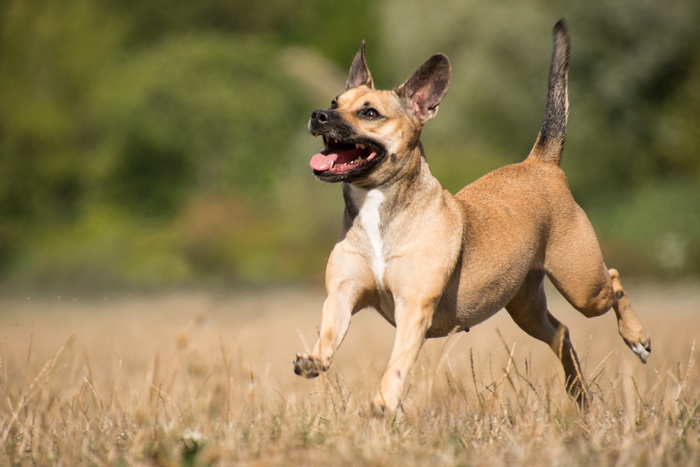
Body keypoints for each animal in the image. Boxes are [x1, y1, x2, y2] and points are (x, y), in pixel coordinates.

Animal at [292, 19, 652, 416]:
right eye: (334, 103)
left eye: (370, 113)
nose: (318, 115)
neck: (378, 205)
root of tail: (541, 163)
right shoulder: (343, 293)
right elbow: (329, 333)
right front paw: (314, 360)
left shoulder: (413, 308)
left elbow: (398, 363)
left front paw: (384, 402)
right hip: (526, 307)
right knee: (561, 334)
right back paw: (580, 395)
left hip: (584, 286)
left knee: (613, 281)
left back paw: (636, 338)